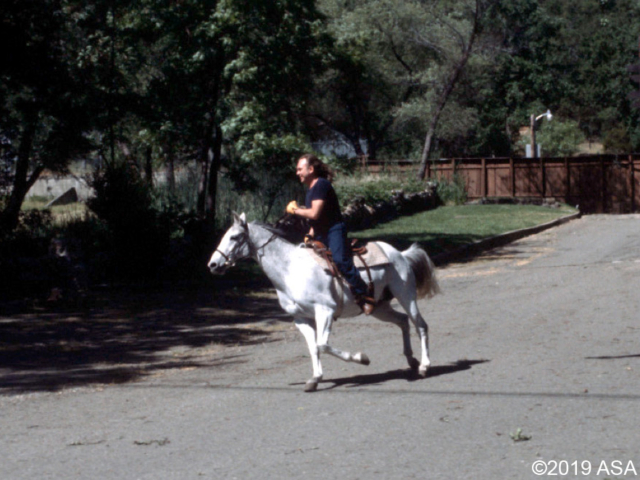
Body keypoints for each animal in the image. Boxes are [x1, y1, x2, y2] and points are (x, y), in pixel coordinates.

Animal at [210, 213, 440, 390]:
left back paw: (424, 366)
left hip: (406, 296)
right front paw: (315, 379)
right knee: (402, 321)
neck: (290, 270)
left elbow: (322, 344)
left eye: (235, 237)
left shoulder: (325, 311)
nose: (213, 264)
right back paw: (411, 360)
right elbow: (313, 347)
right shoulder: (301, 319)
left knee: (420, 325)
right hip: (379, 308)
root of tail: (399, 253)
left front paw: (361, 358)